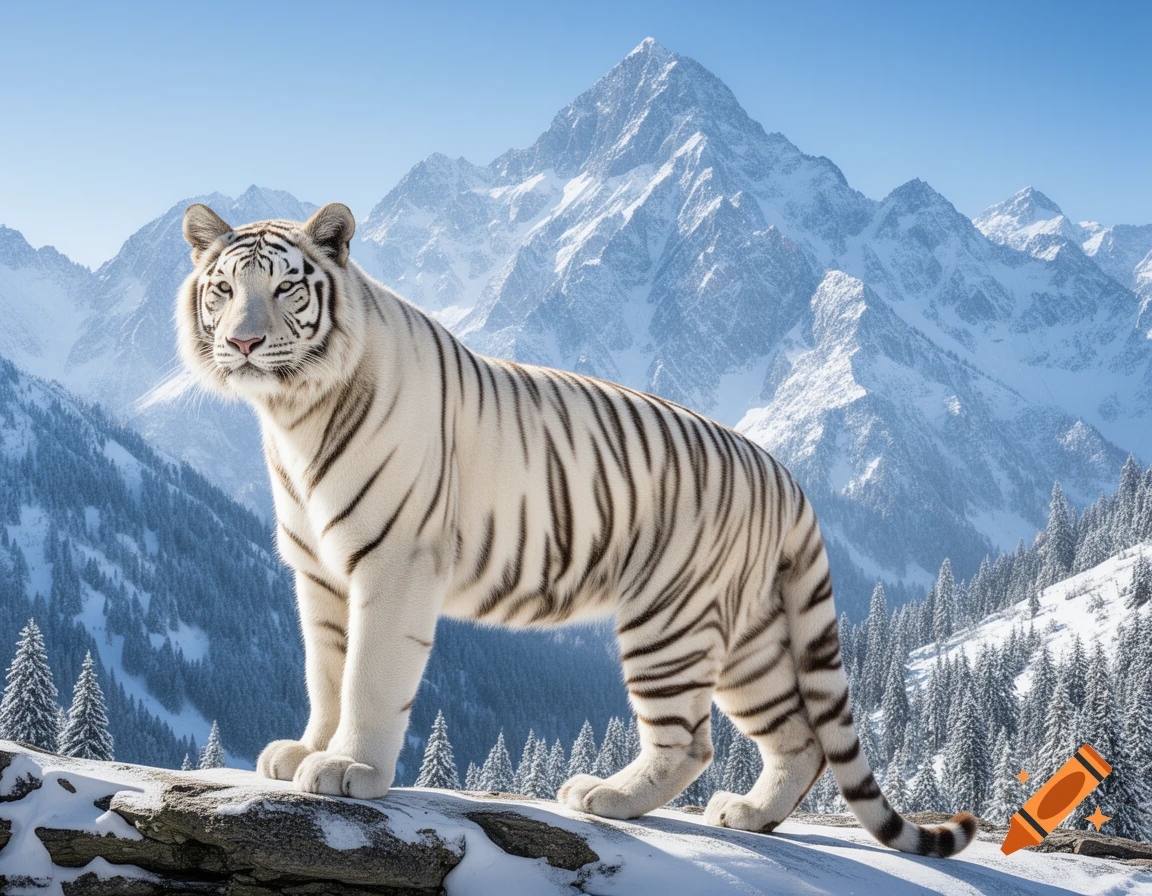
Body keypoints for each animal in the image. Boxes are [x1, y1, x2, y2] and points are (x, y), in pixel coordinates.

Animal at [176, 201, 977, 857]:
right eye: (224, 290)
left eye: (285, 288)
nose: (243, 344)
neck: (294, 416)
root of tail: (786, 475)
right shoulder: (318, 571)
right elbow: (326, 671)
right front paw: (304, 750)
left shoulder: (395, 561)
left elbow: (369, 675)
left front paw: (350, 769)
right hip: (752, 637)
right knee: (800, 736)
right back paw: (748, 815)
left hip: (670, 616)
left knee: (690, 741)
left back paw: (606, 796)